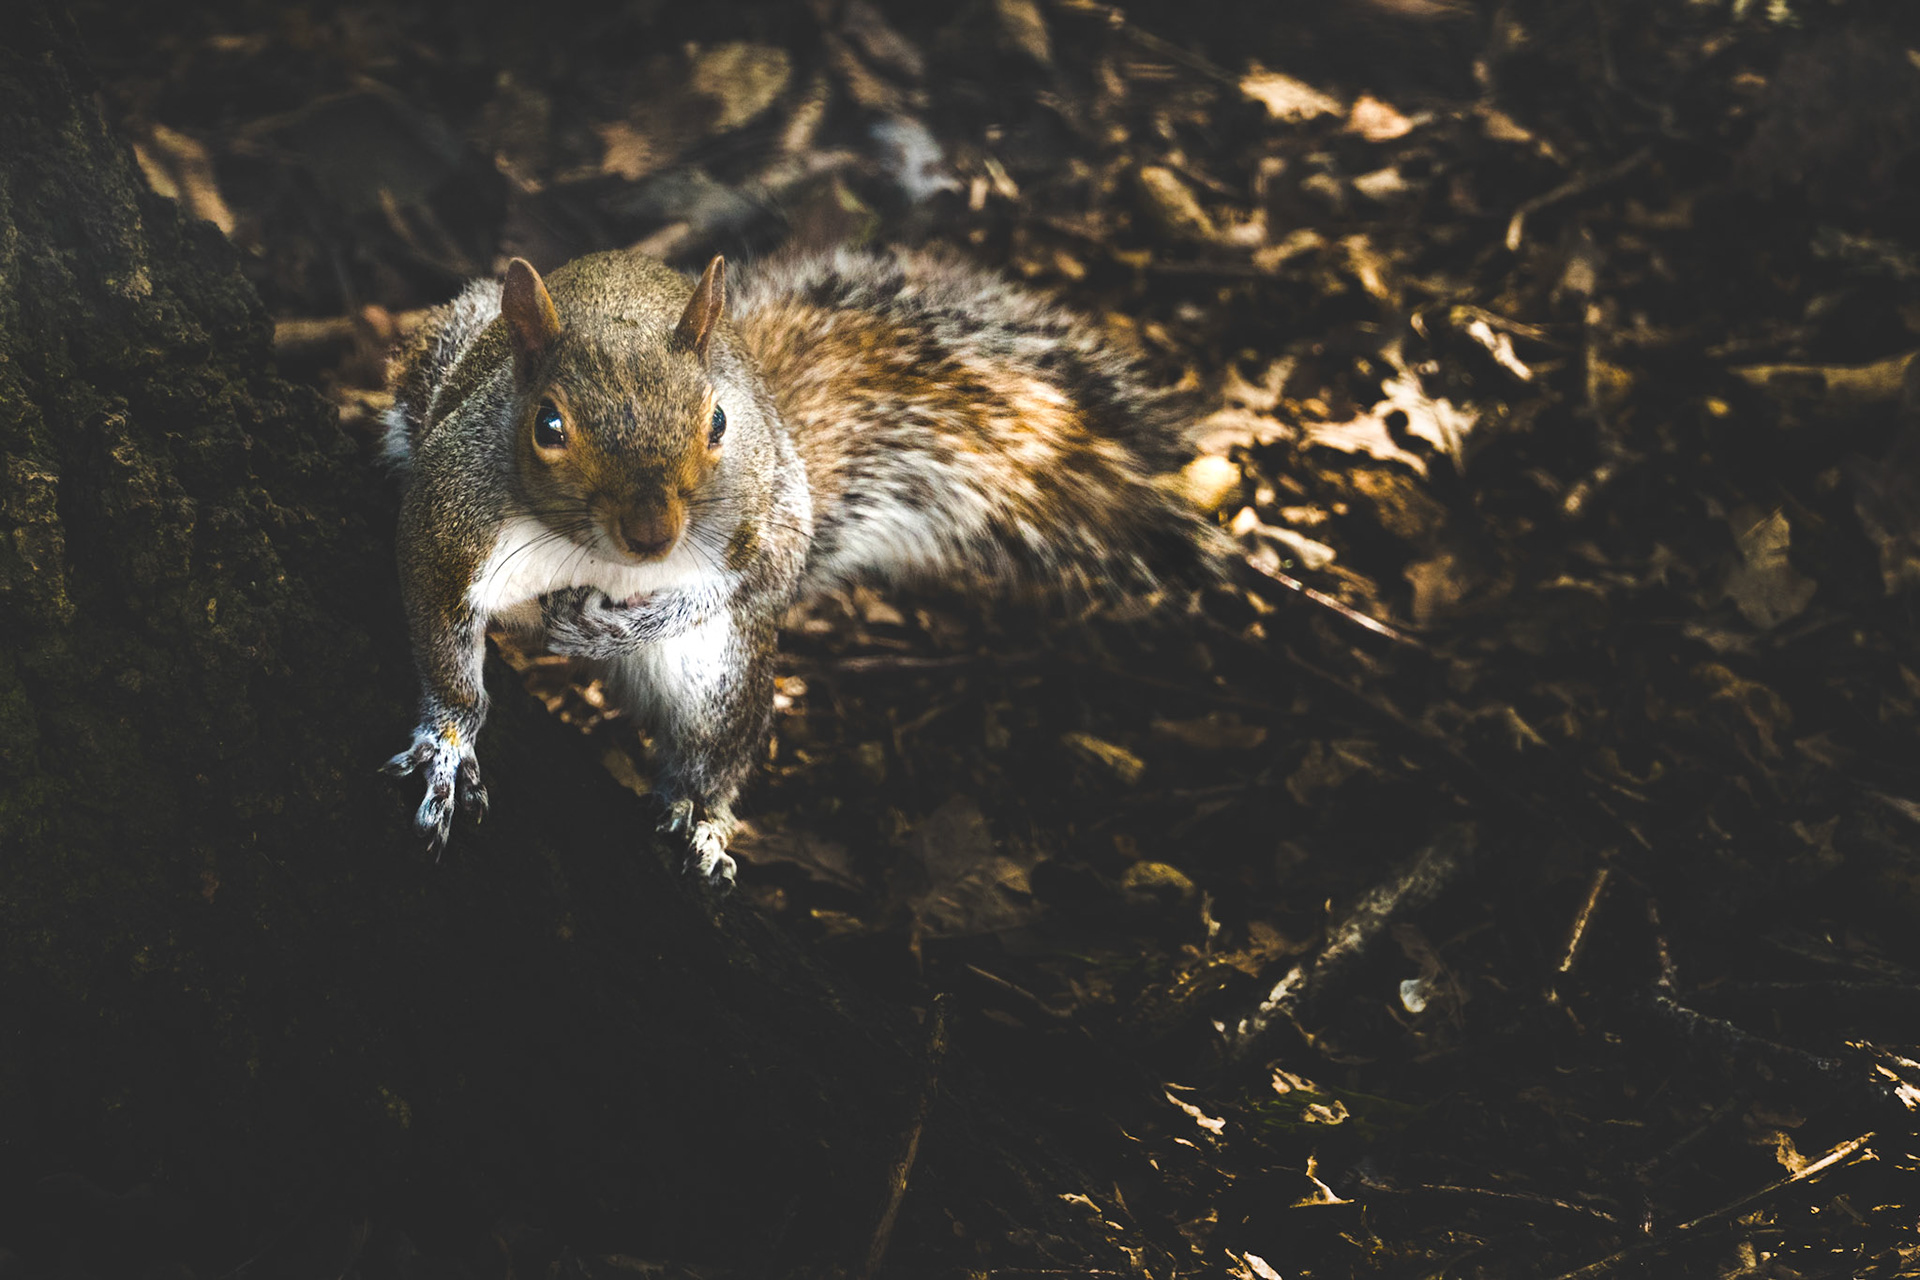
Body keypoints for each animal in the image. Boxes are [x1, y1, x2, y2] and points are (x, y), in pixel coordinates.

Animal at [380, 244, 1228, 887]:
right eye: (548, 426)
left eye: (718, 421)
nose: (653, 536)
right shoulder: (450, 523)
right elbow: (446, 653)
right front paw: (448, 752)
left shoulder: (766, 515)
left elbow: (761, 574)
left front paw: (628, 626)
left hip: (722, 677)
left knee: (714, 749)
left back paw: (702, 817)